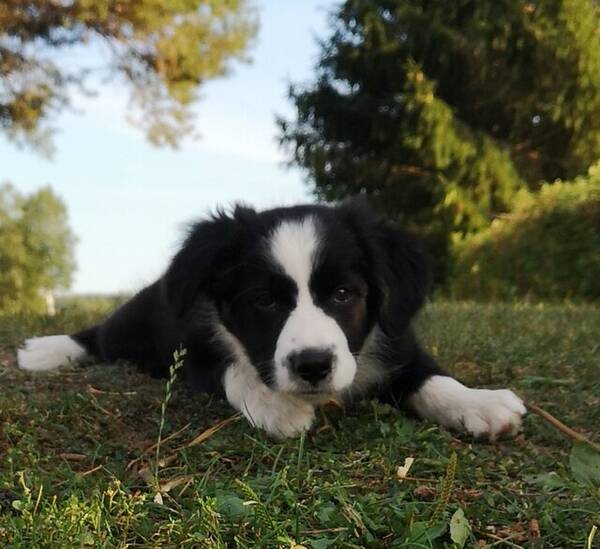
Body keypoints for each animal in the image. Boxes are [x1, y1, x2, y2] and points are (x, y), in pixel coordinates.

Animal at [17, 200, 524, 436]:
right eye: (264, 302)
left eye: (343, 294)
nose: (313, 366)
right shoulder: (195, 347)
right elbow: (235, 369)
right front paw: (276, 404)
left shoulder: (396, 338)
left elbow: (431, 378)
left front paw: (479, 403)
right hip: (137, 324)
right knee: (101, 335)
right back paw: (45, 348)